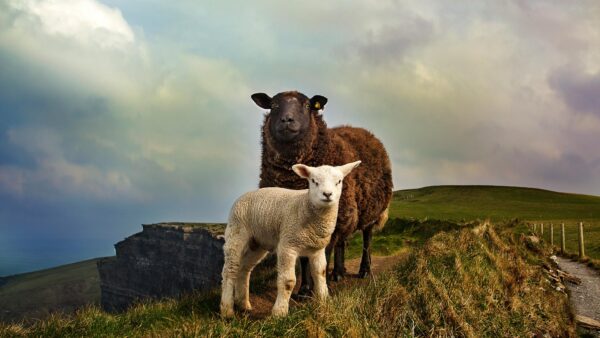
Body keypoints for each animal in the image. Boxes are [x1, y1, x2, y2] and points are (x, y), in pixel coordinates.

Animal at [220, 160, 360, 316]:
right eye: (314, 181)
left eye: (339, 181)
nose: (327, 194)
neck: (305, 205)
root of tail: (244, 195)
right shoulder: (288, 245)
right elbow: (288, 281)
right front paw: (280, 312)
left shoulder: (317, 249)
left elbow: (321, 274)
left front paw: (324, 302)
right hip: (236, 233)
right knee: (230, 270)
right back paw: (227, 310)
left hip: (257, 243)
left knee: (244, 269)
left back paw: (243, 304)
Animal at [250, 90, 394, 294]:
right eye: (273, 105)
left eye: (307, 105)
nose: (287, 120)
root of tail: (364, 132)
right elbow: (304, 259)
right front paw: (304, 289)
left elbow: (321, 257)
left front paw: (315, 290)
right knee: (343, 241)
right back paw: (338, 273)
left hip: (370, 210)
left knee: (367, 239)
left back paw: (364, 270)